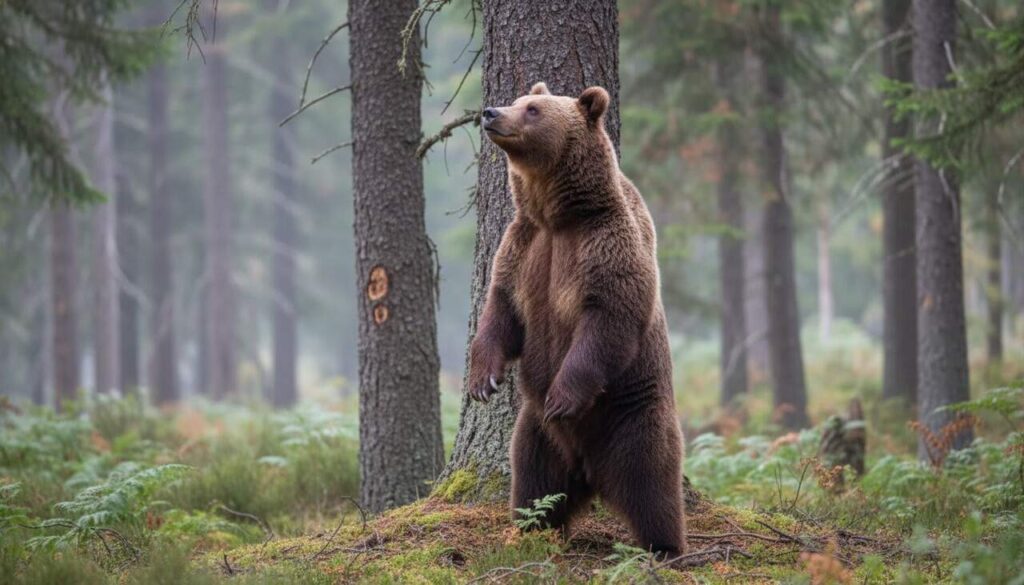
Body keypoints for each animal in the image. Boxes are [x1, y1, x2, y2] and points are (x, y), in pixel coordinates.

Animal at [467, 81, 686, 556]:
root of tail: (589, 470)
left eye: (532, 109)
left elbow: (608, 318)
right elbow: (501, 311)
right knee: (533, 482)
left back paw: (666, 546)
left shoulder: (603, 244)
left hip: (631, 415)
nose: (491, 112)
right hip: (537, 436)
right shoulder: (522, 246)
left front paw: (562, 397)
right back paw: (528, 532)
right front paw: (482, 380)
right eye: (517, 100)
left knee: (652, 484)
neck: (556, 214)